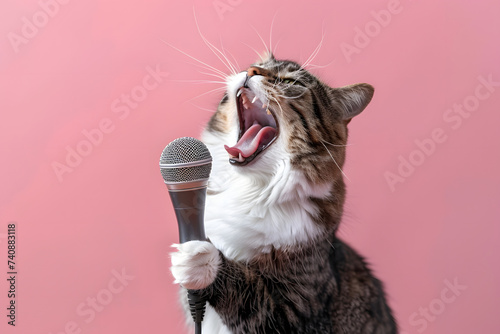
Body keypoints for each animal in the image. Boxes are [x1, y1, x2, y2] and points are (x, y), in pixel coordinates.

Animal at [170, 53, 396, 332]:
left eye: (290, 81)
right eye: (254, 65)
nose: (251, 70)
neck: (251, 189)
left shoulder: (295, 311)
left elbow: (247, 291)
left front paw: (201, 260)